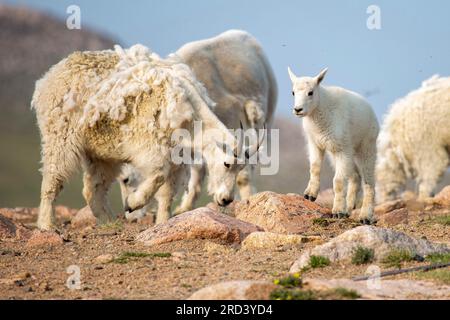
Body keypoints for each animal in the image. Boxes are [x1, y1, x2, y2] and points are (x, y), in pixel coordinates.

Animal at [31, 45, 258, 230]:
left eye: (240, 167)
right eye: (227, 163)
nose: (226, 199)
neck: (189, 111)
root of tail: (48, 78)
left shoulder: (177, 158)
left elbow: (167, 192)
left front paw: (162, 222)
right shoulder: (150, 145)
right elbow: (158, 175)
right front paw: (132, 203)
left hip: (102, 151)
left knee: (93, 188)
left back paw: (109, 221)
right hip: (60, 134)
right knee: (53, 177)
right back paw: (47, 224)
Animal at [288, 66, 380, 224]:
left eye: (310, 92)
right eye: (293, 92)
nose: (298, 110)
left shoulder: (342, 149)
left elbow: (338, 181)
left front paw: (337, 211)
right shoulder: (315, 143)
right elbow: (315, 168)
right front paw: (310, 195)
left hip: (366, 146)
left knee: (369, 182)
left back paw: (365, 216)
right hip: (336, 152)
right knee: (355, 176)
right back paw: (349, 208)